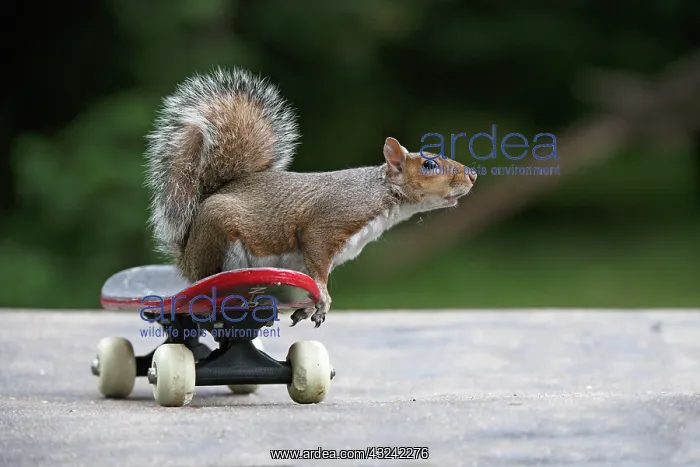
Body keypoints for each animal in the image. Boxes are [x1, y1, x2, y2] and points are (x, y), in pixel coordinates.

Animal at [145, 67, 476, 328]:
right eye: (429, 165)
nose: (472, 174)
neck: (381, 194)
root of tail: (187, 255)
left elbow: (310, 278)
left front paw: (308, 307)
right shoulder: (328, 223)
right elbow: (317, 266)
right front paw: (324, 298)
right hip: (220, 235)